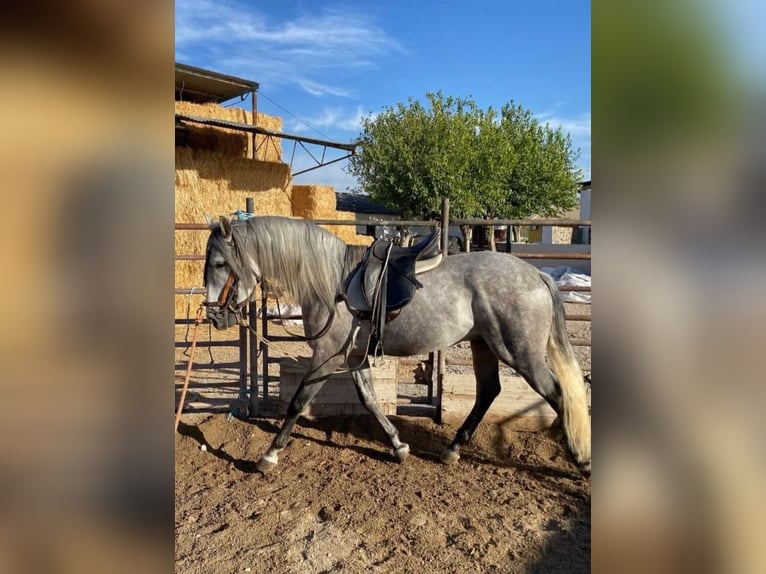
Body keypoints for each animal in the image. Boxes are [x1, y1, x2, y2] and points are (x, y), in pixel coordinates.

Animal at [204, 216, 592, 476]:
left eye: (221, 263)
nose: (213, 316)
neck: (332, 281)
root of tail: (535, 274)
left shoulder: (327, 356)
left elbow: (298, 402)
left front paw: (269, 456)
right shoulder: (354, 358)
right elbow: (370, 400)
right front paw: (399, 446)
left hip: (520, 353)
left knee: (557, 395)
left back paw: (580, 458)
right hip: (484, 345)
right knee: (488, 392)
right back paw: (452, 450)